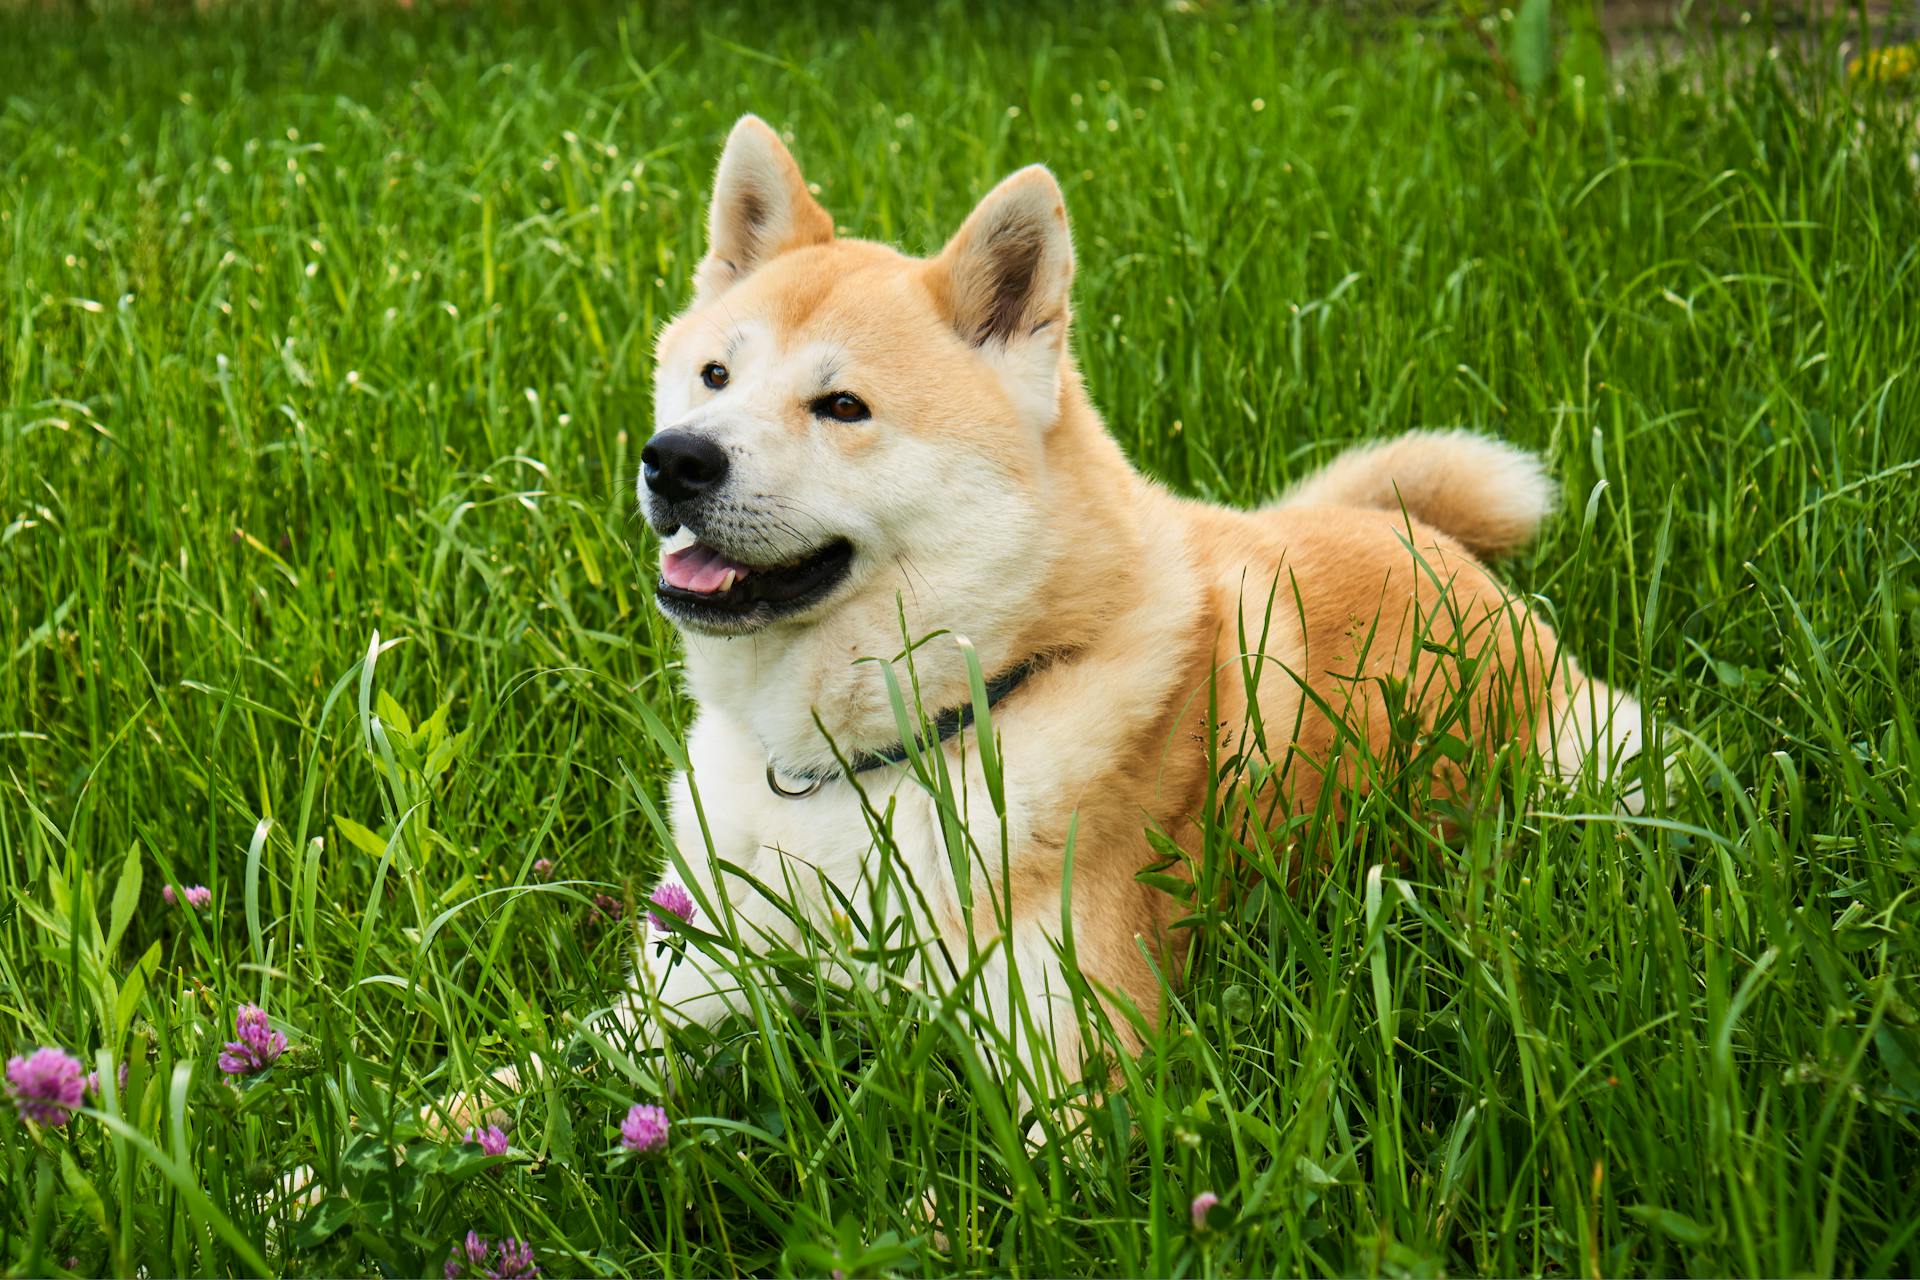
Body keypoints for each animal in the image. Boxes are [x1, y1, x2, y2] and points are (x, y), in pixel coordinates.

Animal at [618, 115, 1651, 1105]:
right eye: (714, 377)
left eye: (842, 406)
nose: (674, 458)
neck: (861, 765)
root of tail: (1420, 537)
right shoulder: (685, 975)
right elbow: (591, 1066)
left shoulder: (1076, 1059)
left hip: (1604, 764)